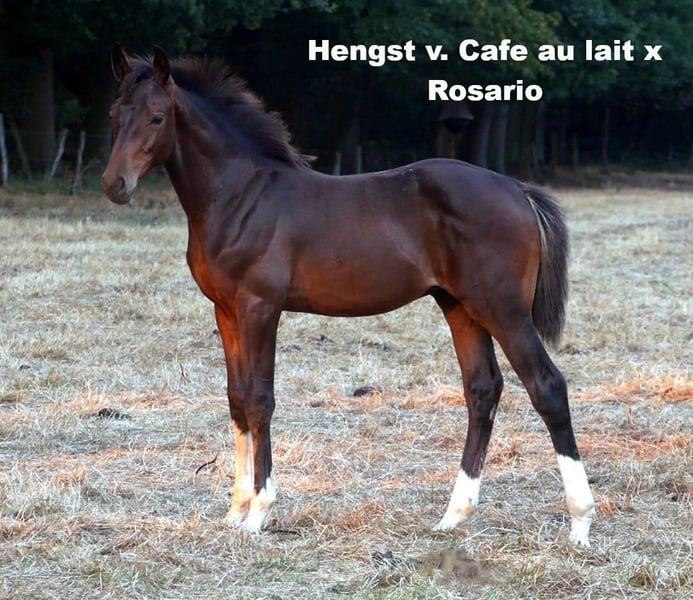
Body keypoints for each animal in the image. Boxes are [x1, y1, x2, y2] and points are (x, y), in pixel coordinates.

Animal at [102, 45, 595, 546]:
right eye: (114, 114)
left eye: (158, 117)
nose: (114, 185)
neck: (241, 196)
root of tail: (517, 188)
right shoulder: (225, 311)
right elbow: (236, 397)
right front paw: (236, 510)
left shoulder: (260, 307)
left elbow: (260, 399)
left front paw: (259, 511)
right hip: (460, 307)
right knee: (482, 390)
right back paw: (453, 515)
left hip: (504, 310)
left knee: (547, 386)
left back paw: (580, 522)